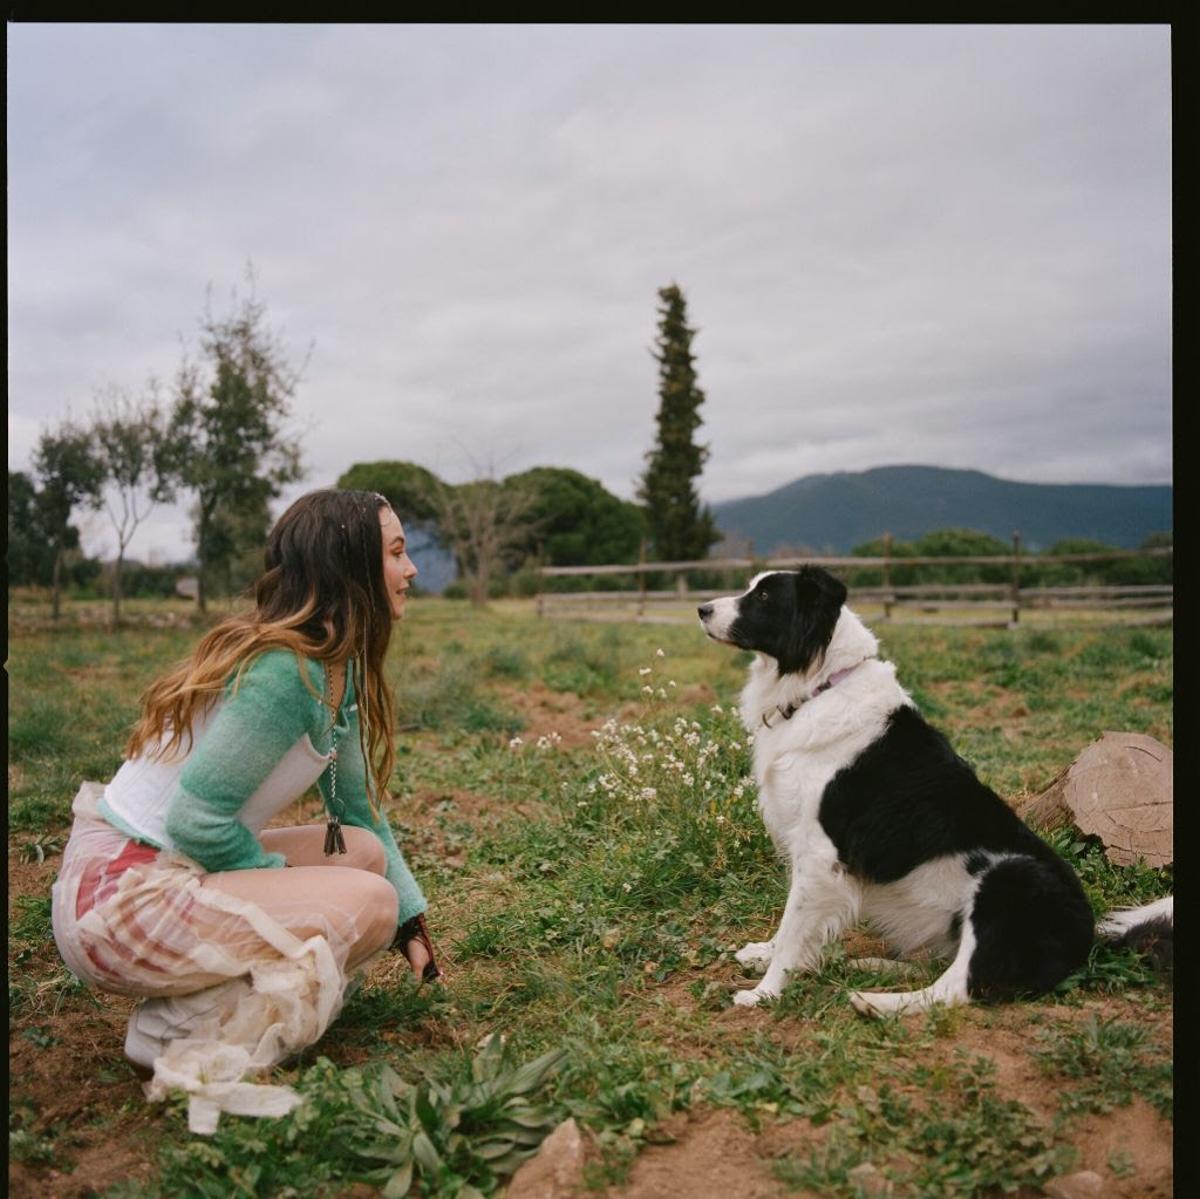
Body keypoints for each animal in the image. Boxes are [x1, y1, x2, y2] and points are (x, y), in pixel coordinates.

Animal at [700, 564, 1176, 1012]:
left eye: (764, 596)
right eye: (751, 587)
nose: (702, 609)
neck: (821, 684)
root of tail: (1090, 939)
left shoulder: (820, 853)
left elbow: (794, 927)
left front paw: (764, 993)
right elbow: (792, 926)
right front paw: (767, 955)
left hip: (1007, 880)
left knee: (955, 990)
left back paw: (872, 1003)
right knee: (934, 968)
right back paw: (866, 965)